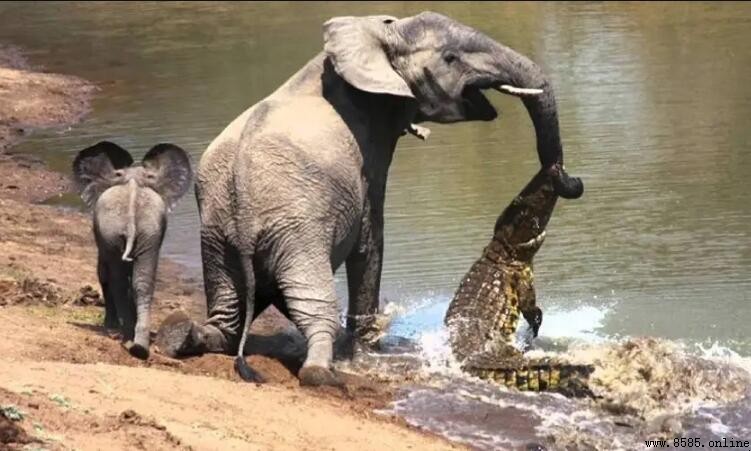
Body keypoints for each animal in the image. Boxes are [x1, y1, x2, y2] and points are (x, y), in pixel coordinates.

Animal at [73, 141, 193, 359]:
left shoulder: (103, 236)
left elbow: (103, 272)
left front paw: (110, 327)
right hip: (149, 231)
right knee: (143, 282)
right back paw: (139, 347)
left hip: (113, 231)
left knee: (117, 280)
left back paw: (125, 337)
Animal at [154, 11, 583, 386]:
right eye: (450, 57)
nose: (569, 179)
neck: (379, 33)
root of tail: (242, 209)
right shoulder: (368, 146)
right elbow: (371, 238)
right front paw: (366, 348)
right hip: (296, 233)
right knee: (315, 308)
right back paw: (321, 373)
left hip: (216, 236)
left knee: (226, 315)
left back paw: (179, 335)